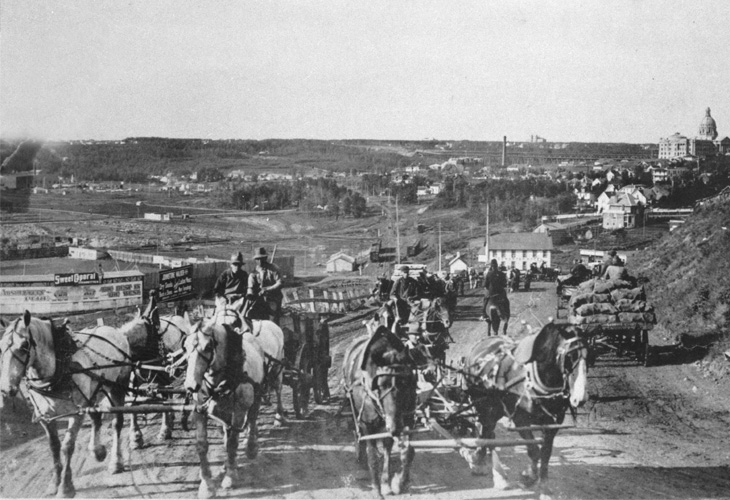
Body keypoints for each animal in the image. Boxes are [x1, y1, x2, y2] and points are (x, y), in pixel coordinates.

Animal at [0, 312, 131, 496]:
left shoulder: (76, 413)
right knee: (96, 418)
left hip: (118, 386)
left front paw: (65, 486)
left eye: (25, 345)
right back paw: (97, 450)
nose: (6, 389)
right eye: (0, 347)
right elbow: (54, 447)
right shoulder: (45, 416)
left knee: (117, 423)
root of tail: (114, 330)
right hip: (93, 394)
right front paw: (54, 482)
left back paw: (115, 462)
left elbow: (67, 446)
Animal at [182, 318, 264, 498]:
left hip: (256, 396)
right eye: (184, 346)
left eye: (208, 347)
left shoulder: (239, 410)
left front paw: (230, 476)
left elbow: (233, 442)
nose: (190, 385)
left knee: (252, 420)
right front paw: (206, 484)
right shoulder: (199, 410)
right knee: (227, 431)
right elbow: (202, 445)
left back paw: (250, 448)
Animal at [342, 324, 418, 496]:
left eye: (405, 382)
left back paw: (385, 479)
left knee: (387, 445)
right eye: (381, 385)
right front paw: (376, 490)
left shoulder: (407, 419)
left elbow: (407, 452)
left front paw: (399, 482)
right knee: (360, 436)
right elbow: (372, 458)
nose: (395, 427)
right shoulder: (368, 423)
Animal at [460, 322, 584, 498]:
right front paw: (529, 477)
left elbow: (545, 453)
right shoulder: (520, 420)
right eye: (570, 356)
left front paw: (543, 485)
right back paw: (484, 464)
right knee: (486, 432)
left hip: (495, 408)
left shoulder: (553, 423)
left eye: (591, 356)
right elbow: (534, 450)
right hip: (483, 405)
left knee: (488, 431)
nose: (579, 399)